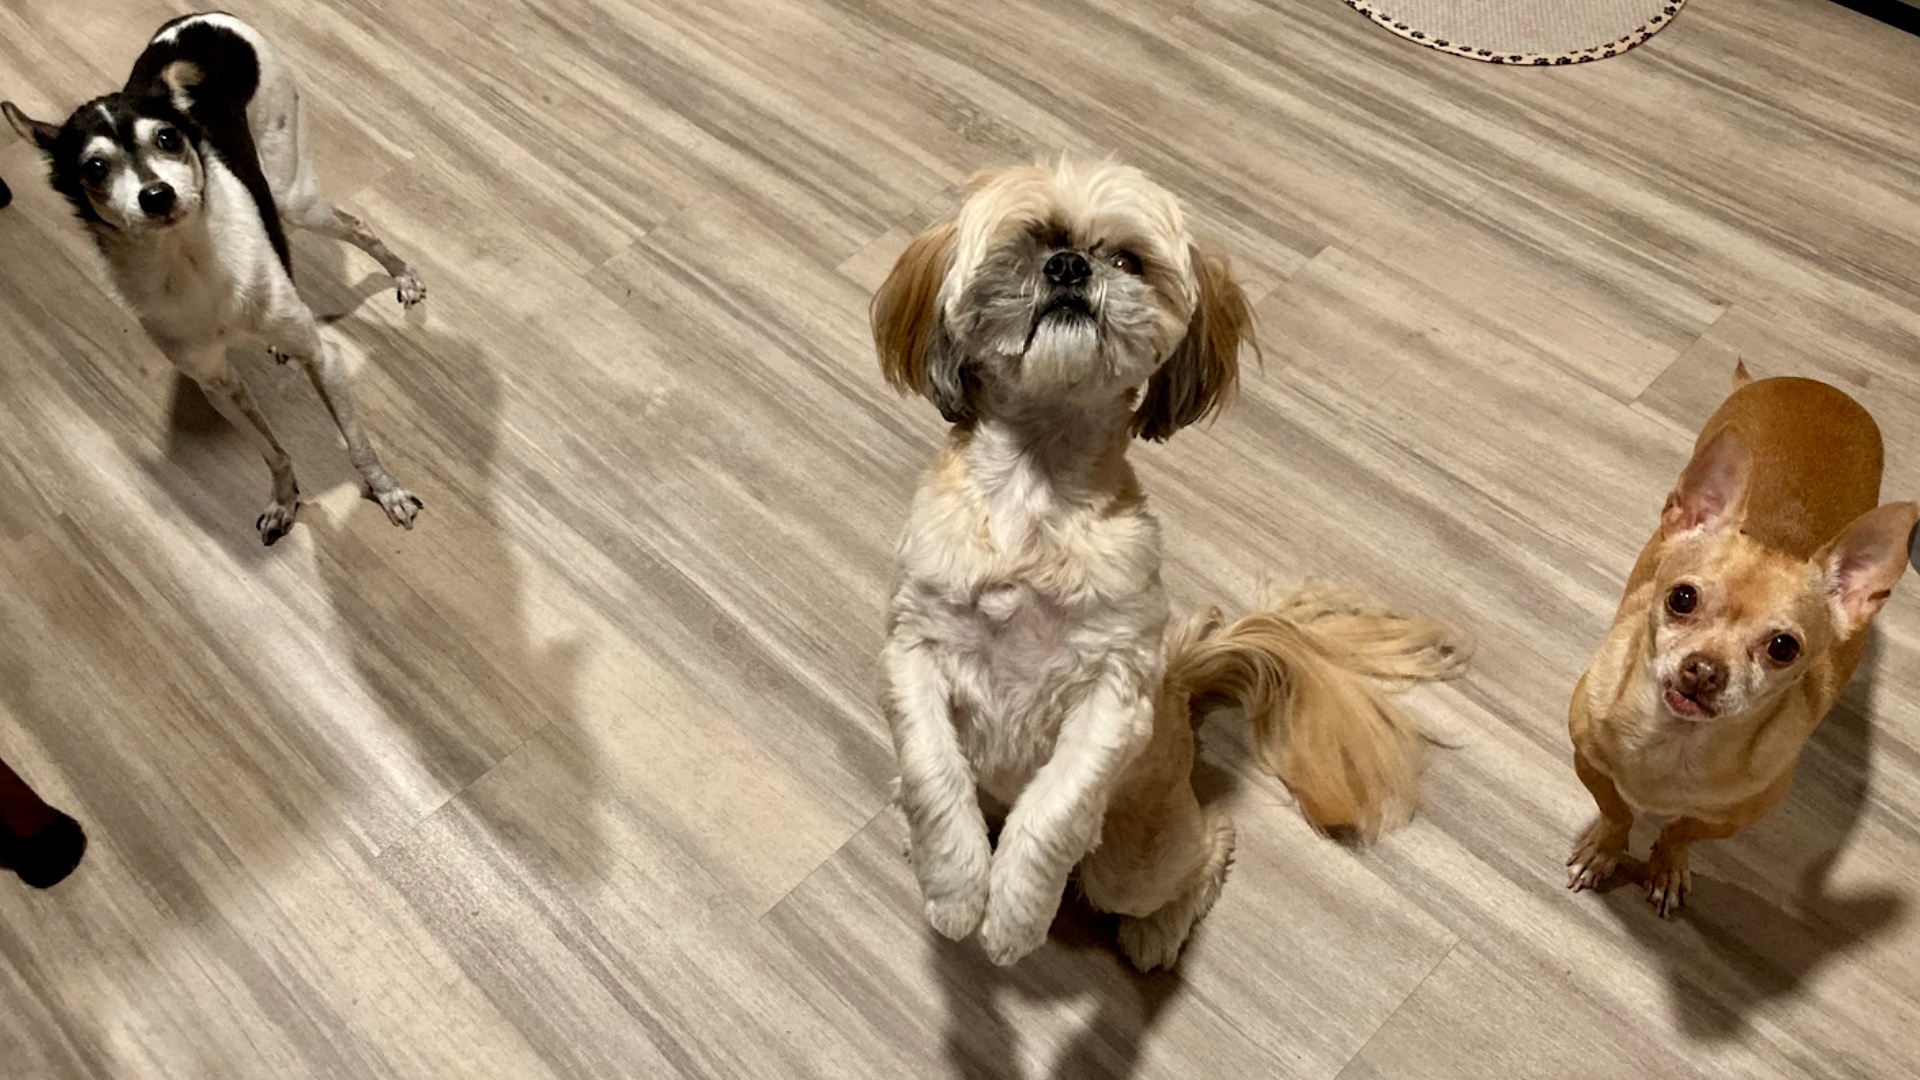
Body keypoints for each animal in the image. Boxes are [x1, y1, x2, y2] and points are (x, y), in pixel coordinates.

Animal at [6, 12, 428, 541]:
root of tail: (201, 18)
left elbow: (357, 443)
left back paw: (404, 278)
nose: (156, 195)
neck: (188, 260)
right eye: (96, 168)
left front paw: (386, 491)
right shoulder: (218, 386)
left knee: (357, 227)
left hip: (293, 195)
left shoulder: (324, 359)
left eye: (167, 139)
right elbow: (273, 452)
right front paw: (284, 500)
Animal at [879, 157, 1459, 968]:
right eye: (1028, 245)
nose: (1070, 266)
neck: (1038, 495)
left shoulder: (1112, 693)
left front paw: (1015, 915)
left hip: (1135, 851)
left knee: (1205, 848)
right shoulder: (917, 648)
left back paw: (1160, 926)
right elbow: (933, 775)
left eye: (1127, 260)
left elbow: (1053, 810)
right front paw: (957, 890)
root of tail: (1184, 683)